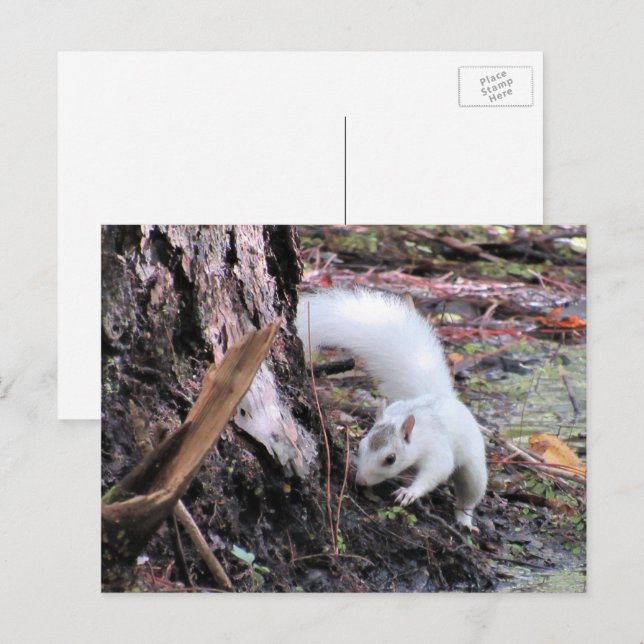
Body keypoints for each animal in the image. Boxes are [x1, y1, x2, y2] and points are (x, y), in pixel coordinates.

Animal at [296, 288, 487, 528]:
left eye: (390, 459)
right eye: (360, 447)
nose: (361, 481)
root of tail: (444, 397)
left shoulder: (436, 448)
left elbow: (438, 470)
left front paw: (409, 493)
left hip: (474, 465)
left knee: (470, 493)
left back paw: (465, 519)